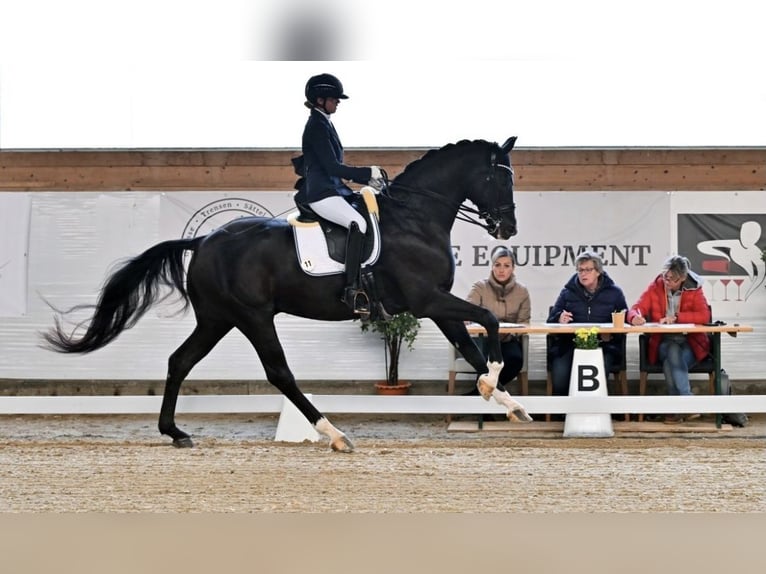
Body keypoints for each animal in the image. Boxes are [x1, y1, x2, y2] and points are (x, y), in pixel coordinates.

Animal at [45, 137, 532, 452]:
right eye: (498, 179)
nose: (508, 228)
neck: (415, 217)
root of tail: (203, 242)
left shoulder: (437, 305)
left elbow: (471, 345)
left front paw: (508, 402)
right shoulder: (427, 301)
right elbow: (490, 321)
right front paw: (494, 385)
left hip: (218, 318)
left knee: (180, 361)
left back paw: (176, 433)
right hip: (253, 317)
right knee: (279, 372)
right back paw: (333, 434)